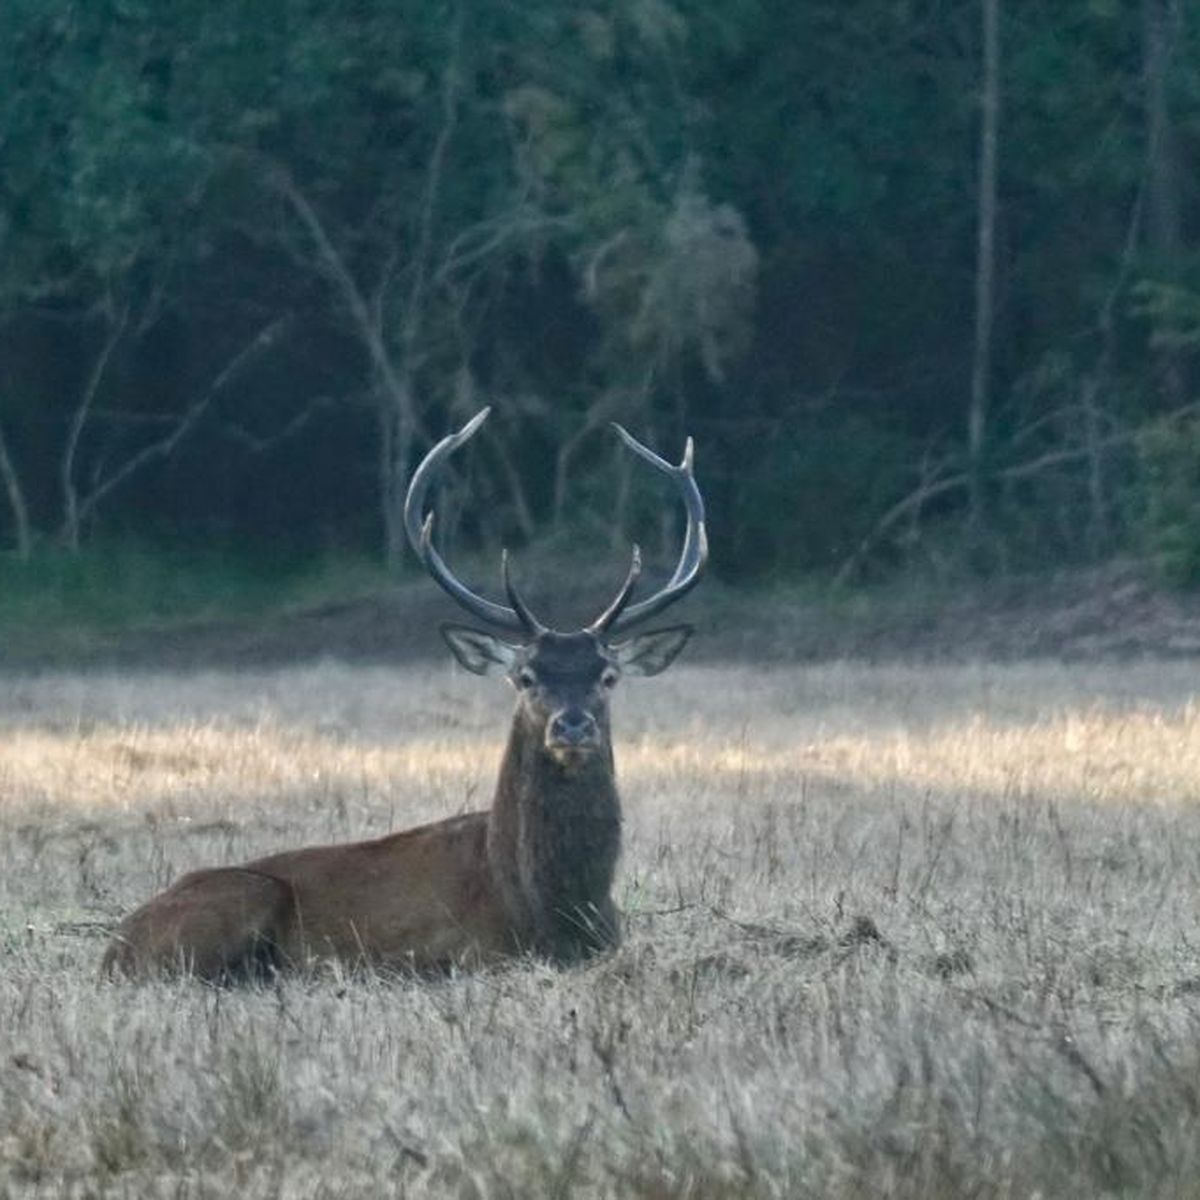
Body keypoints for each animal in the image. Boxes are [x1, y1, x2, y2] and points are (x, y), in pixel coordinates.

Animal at [105, 408, 700, 979]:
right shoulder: (454, 952)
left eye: (607, 675)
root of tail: (115, 947)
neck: (551, 908)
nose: (572, 724)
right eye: (526, 676)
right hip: (240, 898)